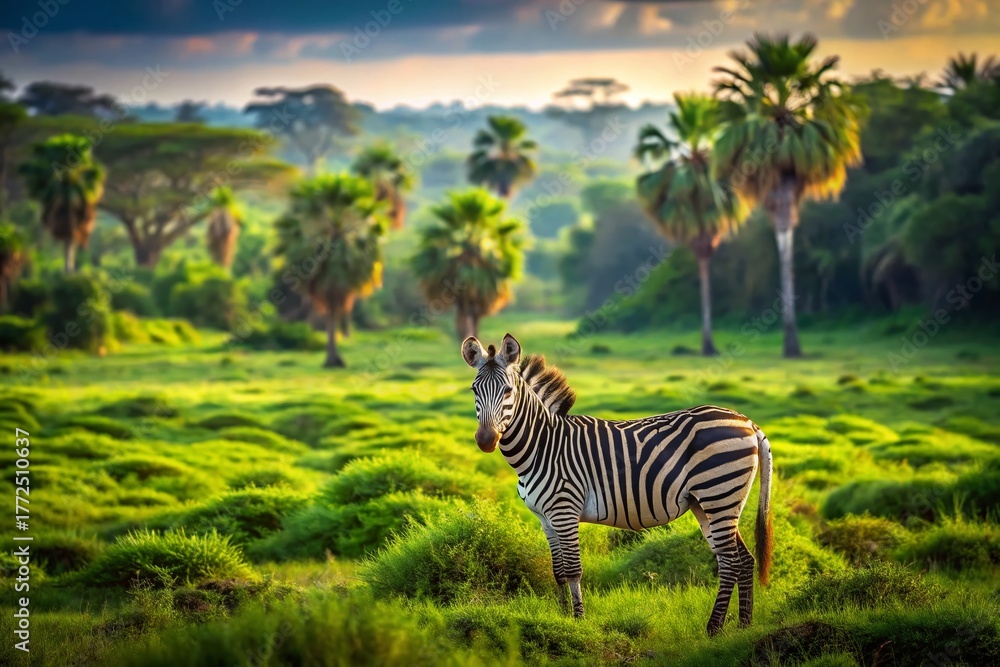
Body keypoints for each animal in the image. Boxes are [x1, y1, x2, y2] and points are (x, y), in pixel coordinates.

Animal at [461, 333, 773, 636]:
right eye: (474, 391)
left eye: (507, 391)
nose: (486, 440)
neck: (542, 446)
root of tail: (747, 422)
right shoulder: (545, 519)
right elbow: (558, 571)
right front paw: (561, 618)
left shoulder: (565, 511)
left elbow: (573, 570)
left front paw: (578, 621)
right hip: (708, 503)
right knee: (741, 559)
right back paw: (744, 625)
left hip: (719, 494)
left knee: (731, 562)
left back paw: (714, 628)